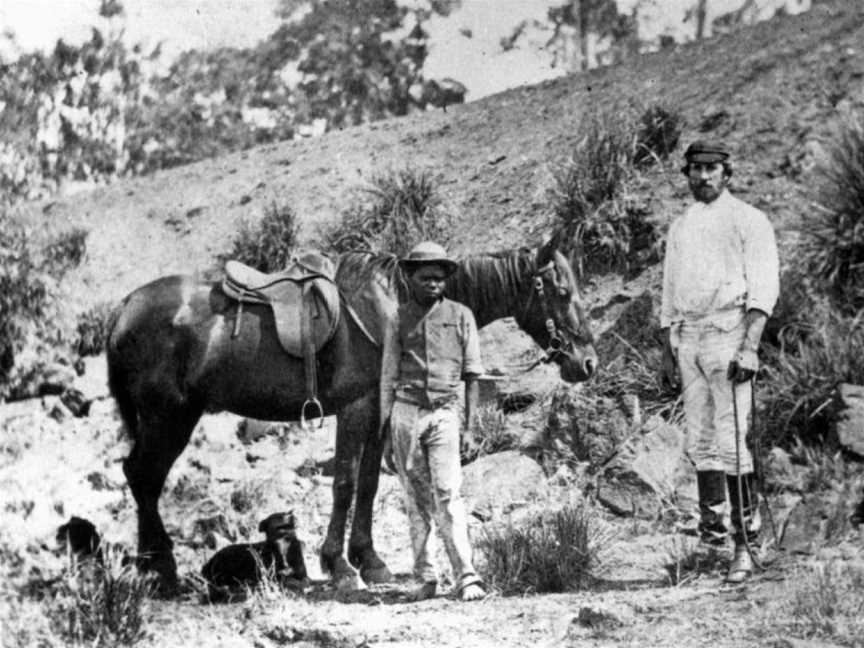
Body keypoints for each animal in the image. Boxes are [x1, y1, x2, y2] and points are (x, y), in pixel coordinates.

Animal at [106, 237, 592, 592]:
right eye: (562, 292)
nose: (587, 363)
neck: (393, 306)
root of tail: (124, 308)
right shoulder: (356, 409)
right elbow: (343, 483)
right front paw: (337, 564)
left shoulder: (378, 409)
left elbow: (369, 484)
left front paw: (368, 559)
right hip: (169, 418)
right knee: (144, 478)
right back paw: (162, 572)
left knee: (141, 478)